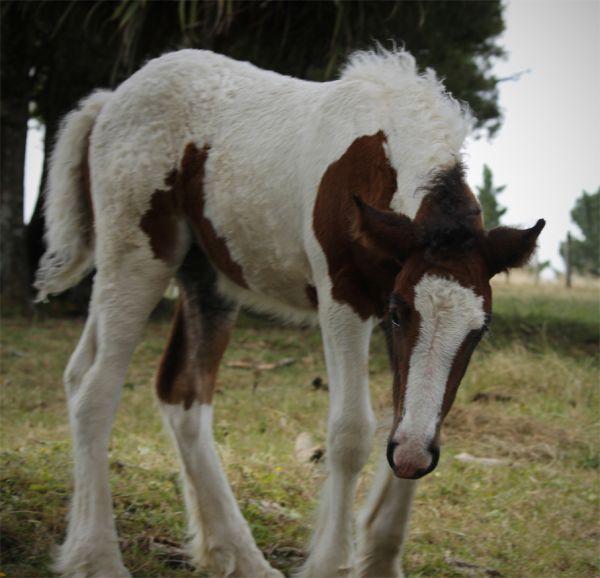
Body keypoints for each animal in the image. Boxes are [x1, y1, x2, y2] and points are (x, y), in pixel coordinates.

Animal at [36, 49, 544, 576]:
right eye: (400, 314)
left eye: (479, 331)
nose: (410, 459)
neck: (379, 149)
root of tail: (111, 99)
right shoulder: (344, 298)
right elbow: (351, 432)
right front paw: (331, 562)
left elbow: (413, 411)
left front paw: (380, 558)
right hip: (136, 258)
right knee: (95, 390)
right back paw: (96, 555)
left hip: (205, 279)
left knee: (173, 393)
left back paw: (237, 555)